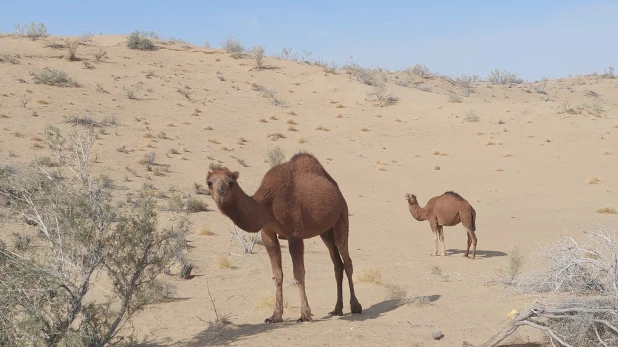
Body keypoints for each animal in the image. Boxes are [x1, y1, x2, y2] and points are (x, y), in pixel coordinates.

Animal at [206, 152, 360, 324]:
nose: (220, 195)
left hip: (341, 216)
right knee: (336, 262)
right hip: (326, 230)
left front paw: (305, 314)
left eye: (231, 182)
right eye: (209, 183)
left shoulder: (295, 234)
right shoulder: (268, 233)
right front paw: (275, 316)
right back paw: (337, 309)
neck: (267, 204)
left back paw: (355, 306)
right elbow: (277, 275)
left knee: (346, 259)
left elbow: (298, 274)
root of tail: (335, 187)